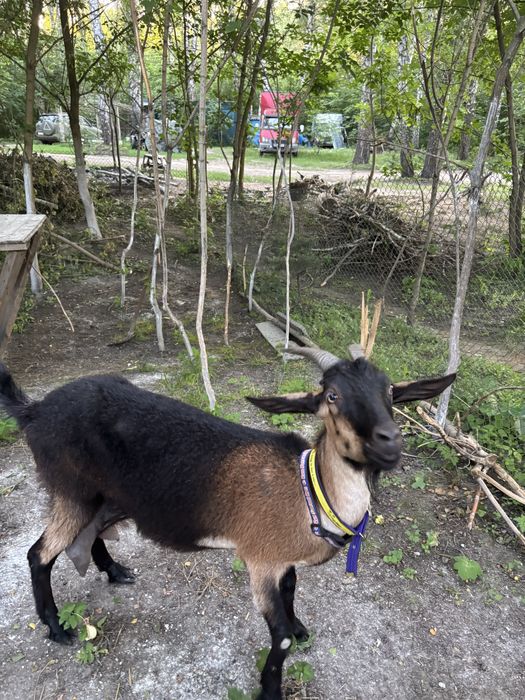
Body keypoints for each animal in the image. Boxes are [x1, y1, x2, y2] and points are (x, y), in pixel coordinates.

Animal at [0, 347, 454, 700]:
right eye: (332, 395)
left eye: (391, 392)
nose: (390, 441)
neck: (307, 490)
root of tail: (34, 411)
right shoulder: (260, 560)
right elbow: (279, 635)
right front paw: (270, 689)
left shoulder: (281, 558)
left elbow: (292, 592)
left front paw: (301, 627)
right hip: (71, 488)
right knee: (39, 553)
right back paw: (56, 627)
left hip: (104, 495)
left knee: (89, 533)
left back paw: (114, 570)